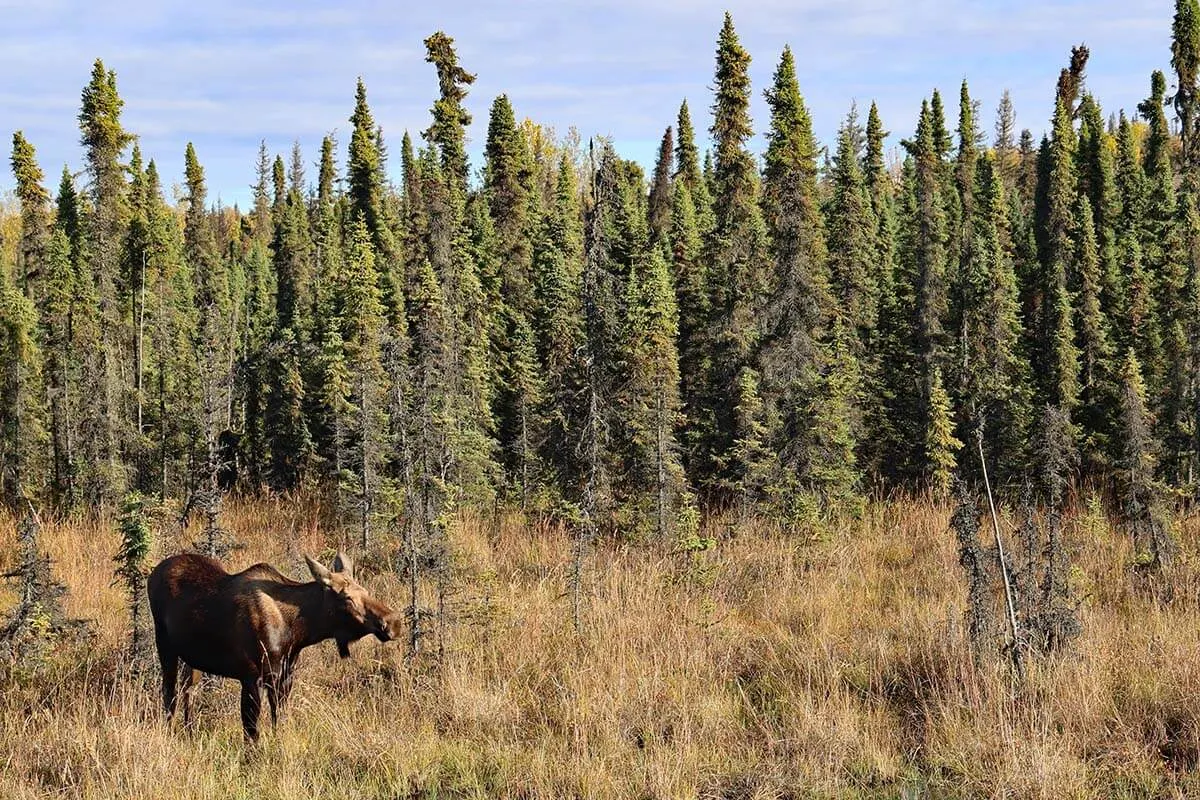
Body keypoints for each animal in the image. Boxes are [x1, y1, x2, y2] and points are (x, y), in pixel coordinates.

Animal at [147, 554, 400, 743]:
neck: (297, 631)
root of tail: (153, 573)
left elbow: (280, 721)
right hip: (165, 646)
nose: (393, 623)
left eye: (365, 590)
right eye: (347, 598)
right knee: (169, 693)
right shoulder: (251, 677)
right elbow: (251, 732)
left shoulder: (285, 678)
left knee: (188, 691)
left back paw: (189, 732)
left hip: (192, 658)